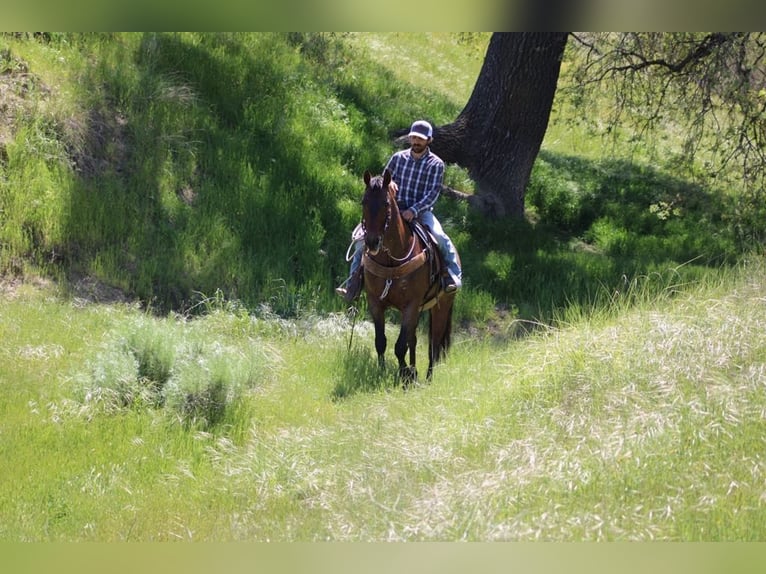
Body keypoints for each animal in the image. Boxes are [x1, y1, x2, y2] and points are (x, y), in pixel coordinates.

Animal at [359, 169, 457, 382]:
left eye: (386, 203)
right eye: (364, 202)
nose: (372, 242)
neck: (391, 260)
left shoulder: (410, 305)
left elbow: (399, 346)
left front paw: (406, 377)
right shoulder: (375, 302)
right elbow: (381, 341)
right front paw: (385, 371)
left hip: (441, 307)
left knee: (434, 344)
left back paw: (428, 378)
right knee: (414, 339)